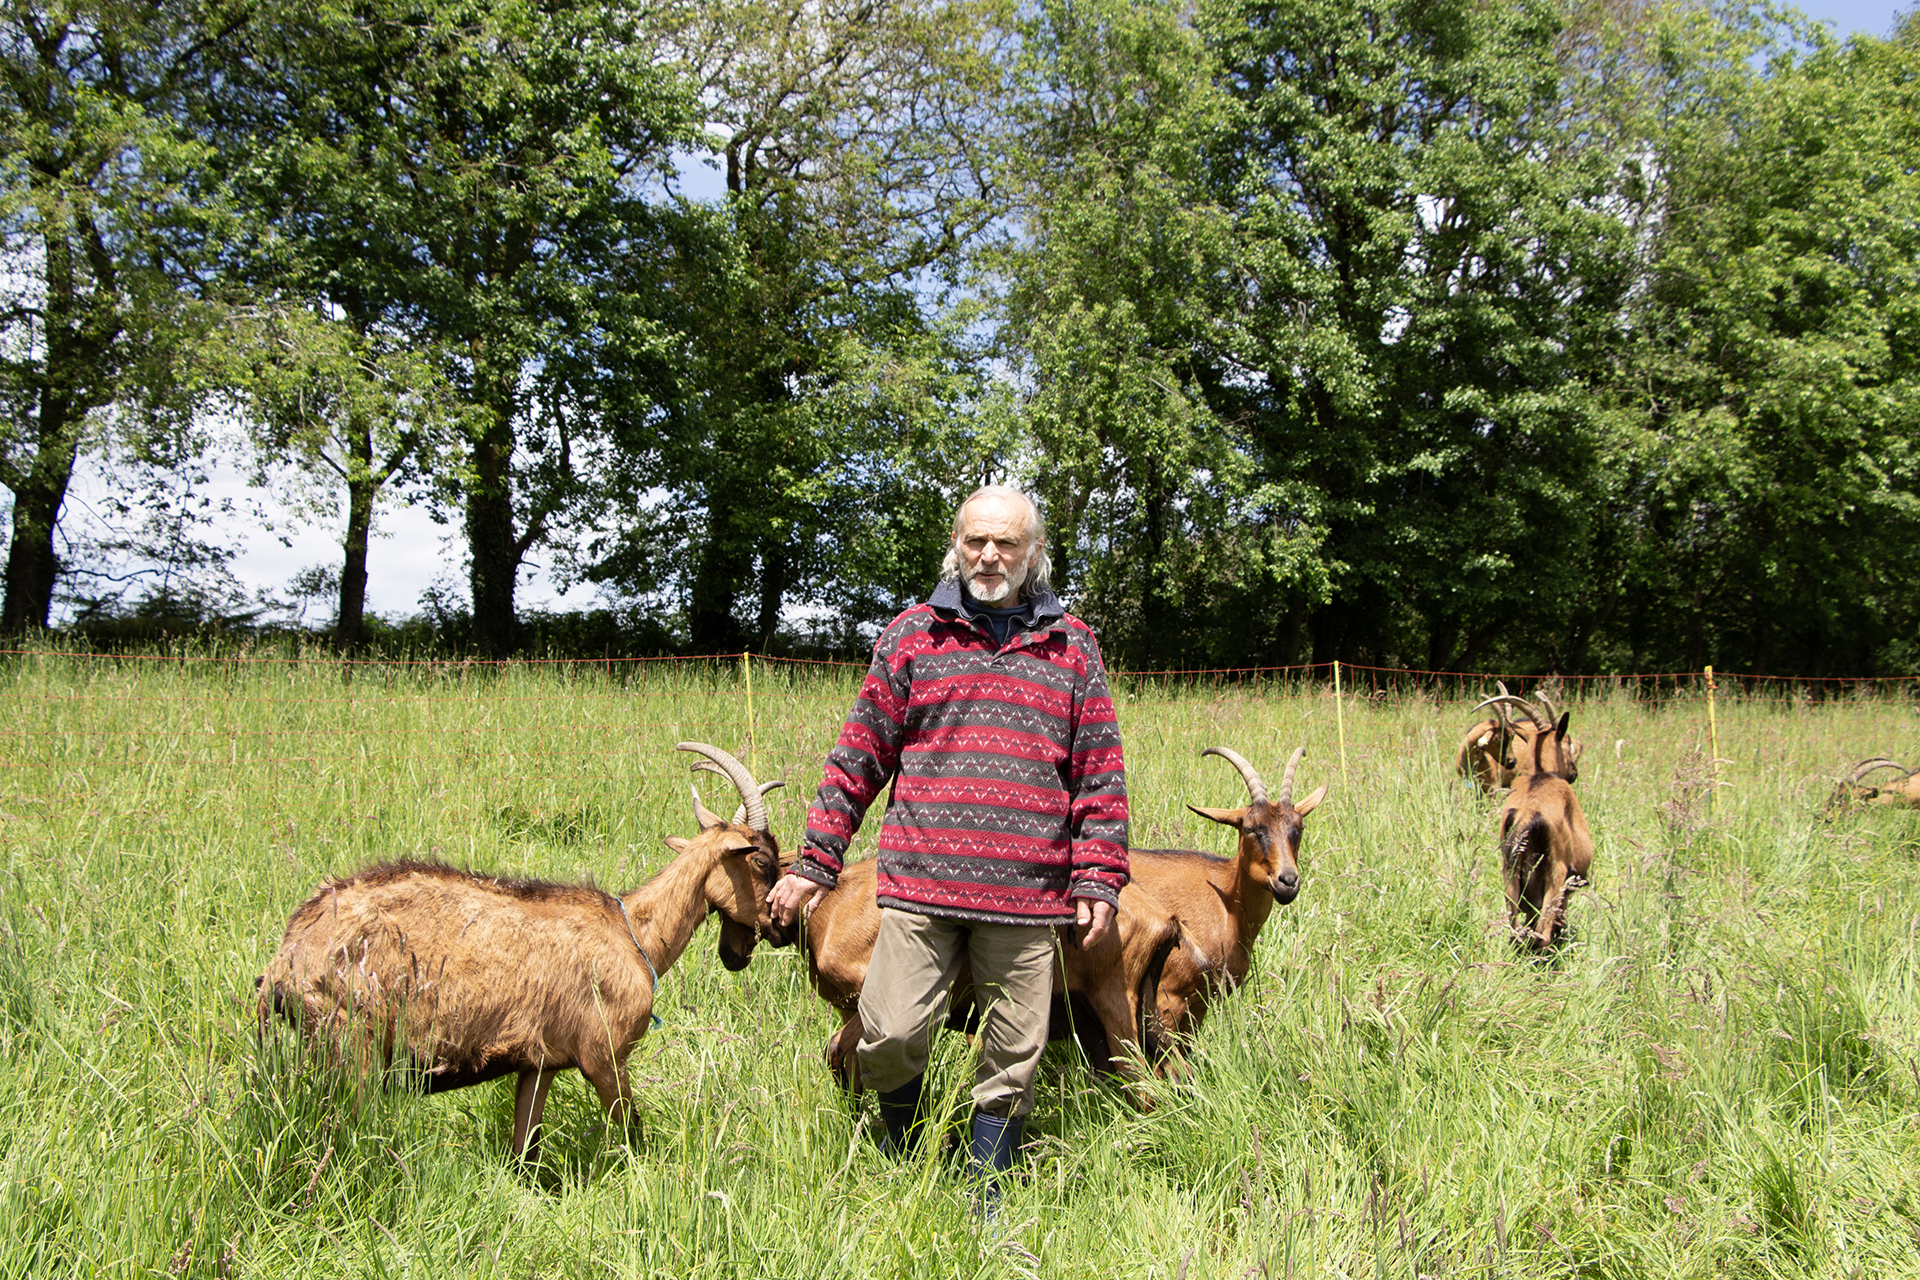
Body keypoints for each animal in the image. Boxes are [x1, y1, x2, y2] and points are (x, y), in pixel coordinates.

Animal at [259, 740, 783, 1159]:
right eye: (761, 861)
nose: (773, 931)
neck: (633, 934)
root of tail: (287, 957)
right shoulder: (604, 1054)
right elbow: (632, 1132)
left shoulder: (540, 1062)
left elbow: (524, 1147)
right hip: (353, 1041)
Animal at [794, 867, 1182, 1105]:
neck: (834, 909)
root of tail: (1164, 922)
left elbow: (836, 1051)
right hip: (1133, 1019)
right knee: (1172, 1073)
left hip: (1115, 1007)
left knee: (1144, 1085)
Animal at [1128, 744, 1328, 1043]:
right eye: (1251, 828)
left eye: (1299, 828)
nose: (1287, 881)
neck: (1227, 911)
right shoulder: (1167, 998)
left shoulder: (1200, 1004)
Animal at [1489, 710, 1597, 951]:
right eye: (1568, 741)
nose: (1574, 772)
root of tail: (1527, 814)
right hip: (1555, 873)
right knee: (1542, 935)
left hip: (1510, 872)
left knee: (1516, 933)